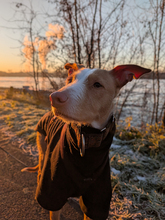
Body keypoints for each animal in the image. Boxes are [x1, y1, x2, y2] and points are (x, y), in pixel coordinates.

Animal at [21, 62, 151, 219]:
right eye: (69, 80)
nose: (54, 98)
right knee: (40, 169)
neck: (86, 140)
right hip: (43, 150)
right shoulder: (53, 192)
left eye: (97, 84)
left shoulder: (96, 201)